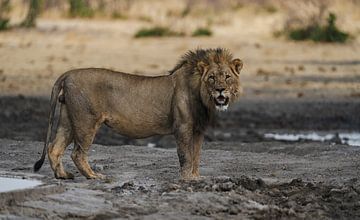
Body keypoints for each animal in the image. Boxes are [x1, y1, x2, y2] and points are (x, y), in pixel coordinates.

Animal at [33, 48, 243, 180]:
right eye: (212, 78)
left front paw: (196, 177)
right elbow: (186, 155)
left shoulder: (198, 130)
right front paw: (187, 179)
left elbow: (197, 155)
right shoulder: (182, 127)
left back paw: (63, 175)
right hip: (86, 121)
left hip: (68, 119)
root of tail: (68, 73)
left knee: (54, 148)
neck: (201, 96)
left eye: (227, 76)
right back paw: (94, 176)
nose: (221, 90)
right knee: (77, 153)